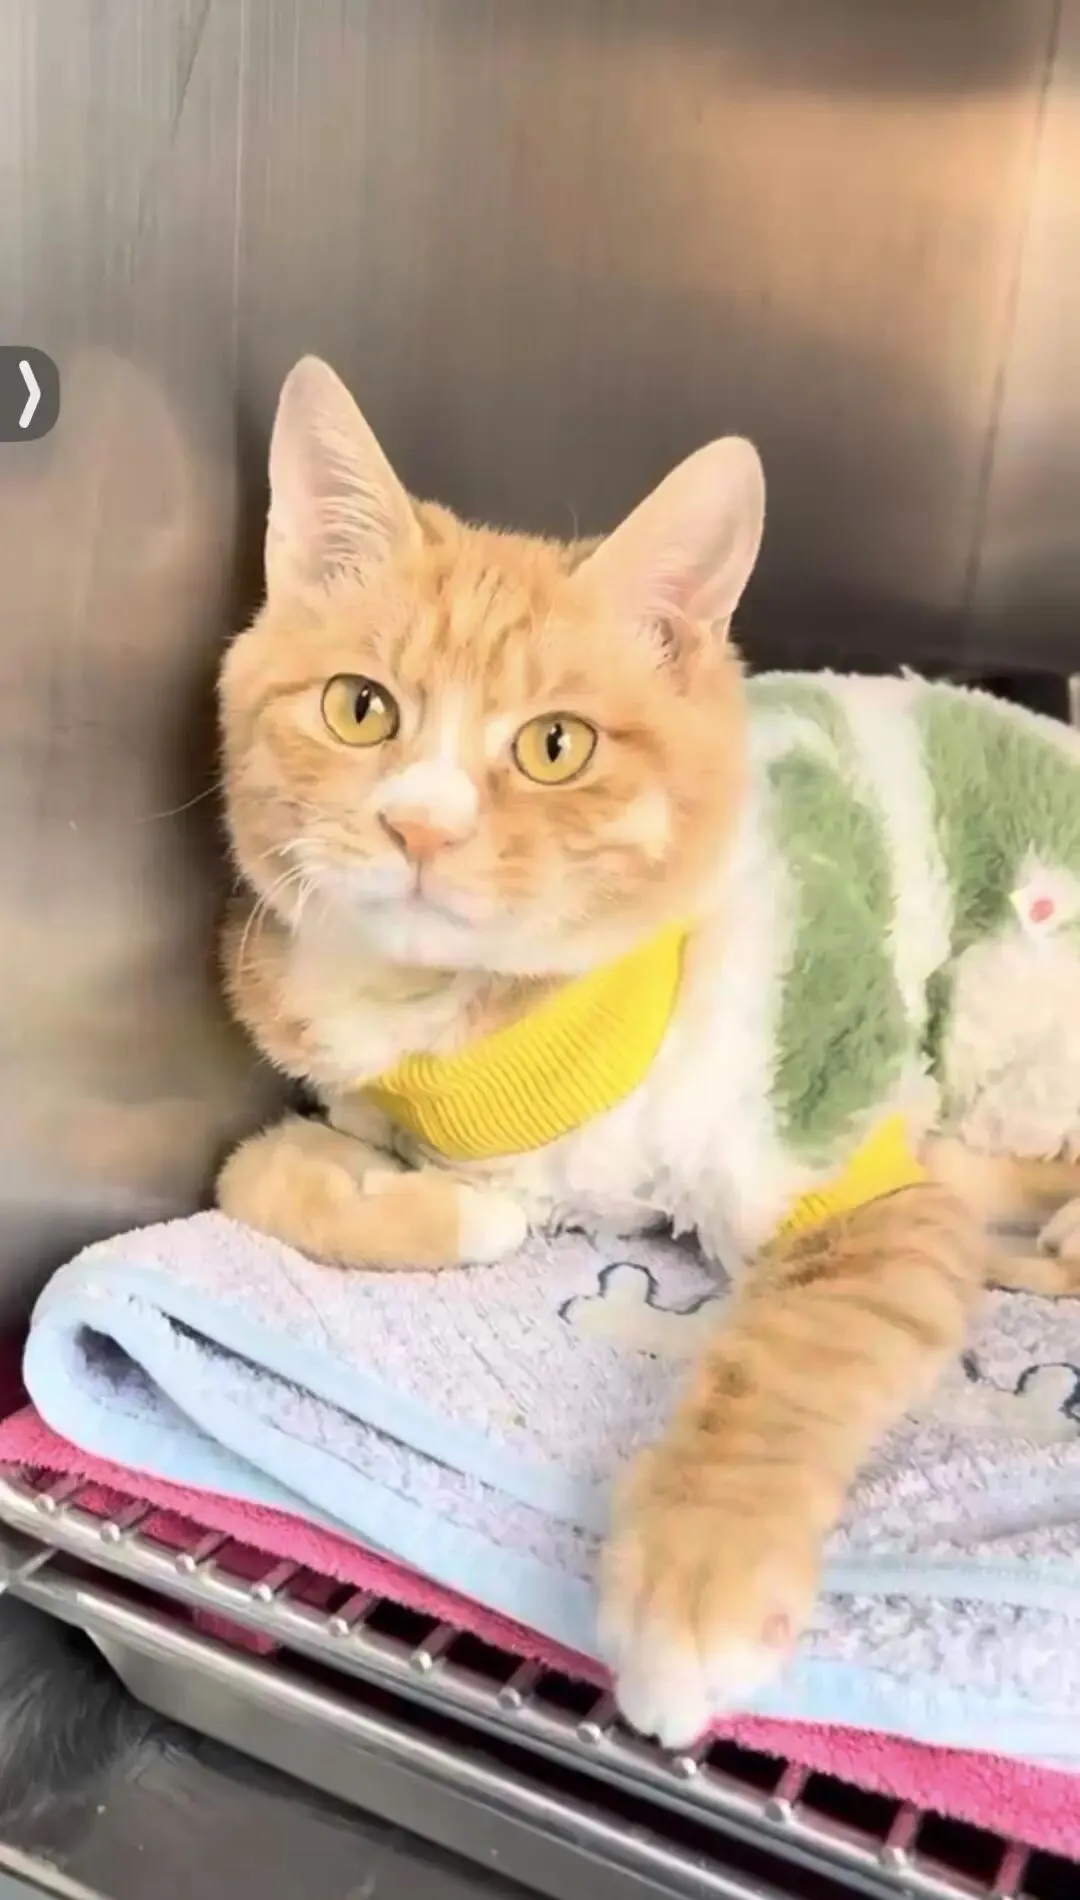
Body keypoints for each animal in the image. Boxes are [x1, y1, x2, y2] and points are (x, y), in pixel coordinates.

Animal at [216, 355, 1080, 1748]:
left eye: (554, 744)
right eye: (361, 709)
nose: (419, 827)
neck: (486, 1032)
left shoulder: (844, 1165)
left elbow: (793, 1357)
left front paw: (697, 1585)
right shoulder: (352, 1088)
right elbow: (260, 1173)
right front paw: (445, 1211)